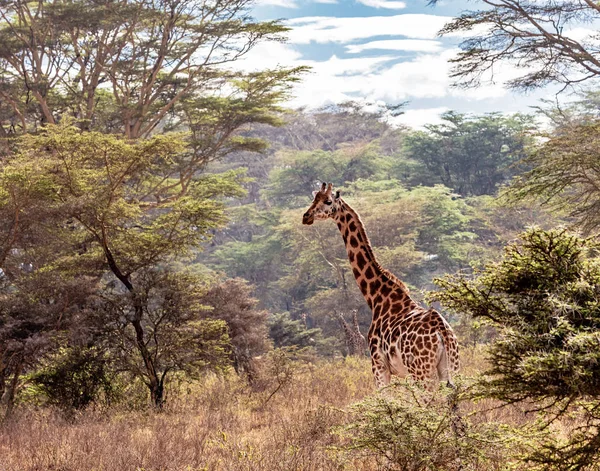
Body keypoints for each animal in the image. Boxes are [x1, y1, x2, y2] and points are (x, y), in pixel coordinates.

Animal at [300, 183, 460, 390]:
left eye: (327, 201)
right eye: (314, 199)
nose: (306, 216)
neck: (376, 296)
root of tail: (442, 331)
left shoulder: (378, 366)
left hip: (421, 371)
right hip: (452, 369)